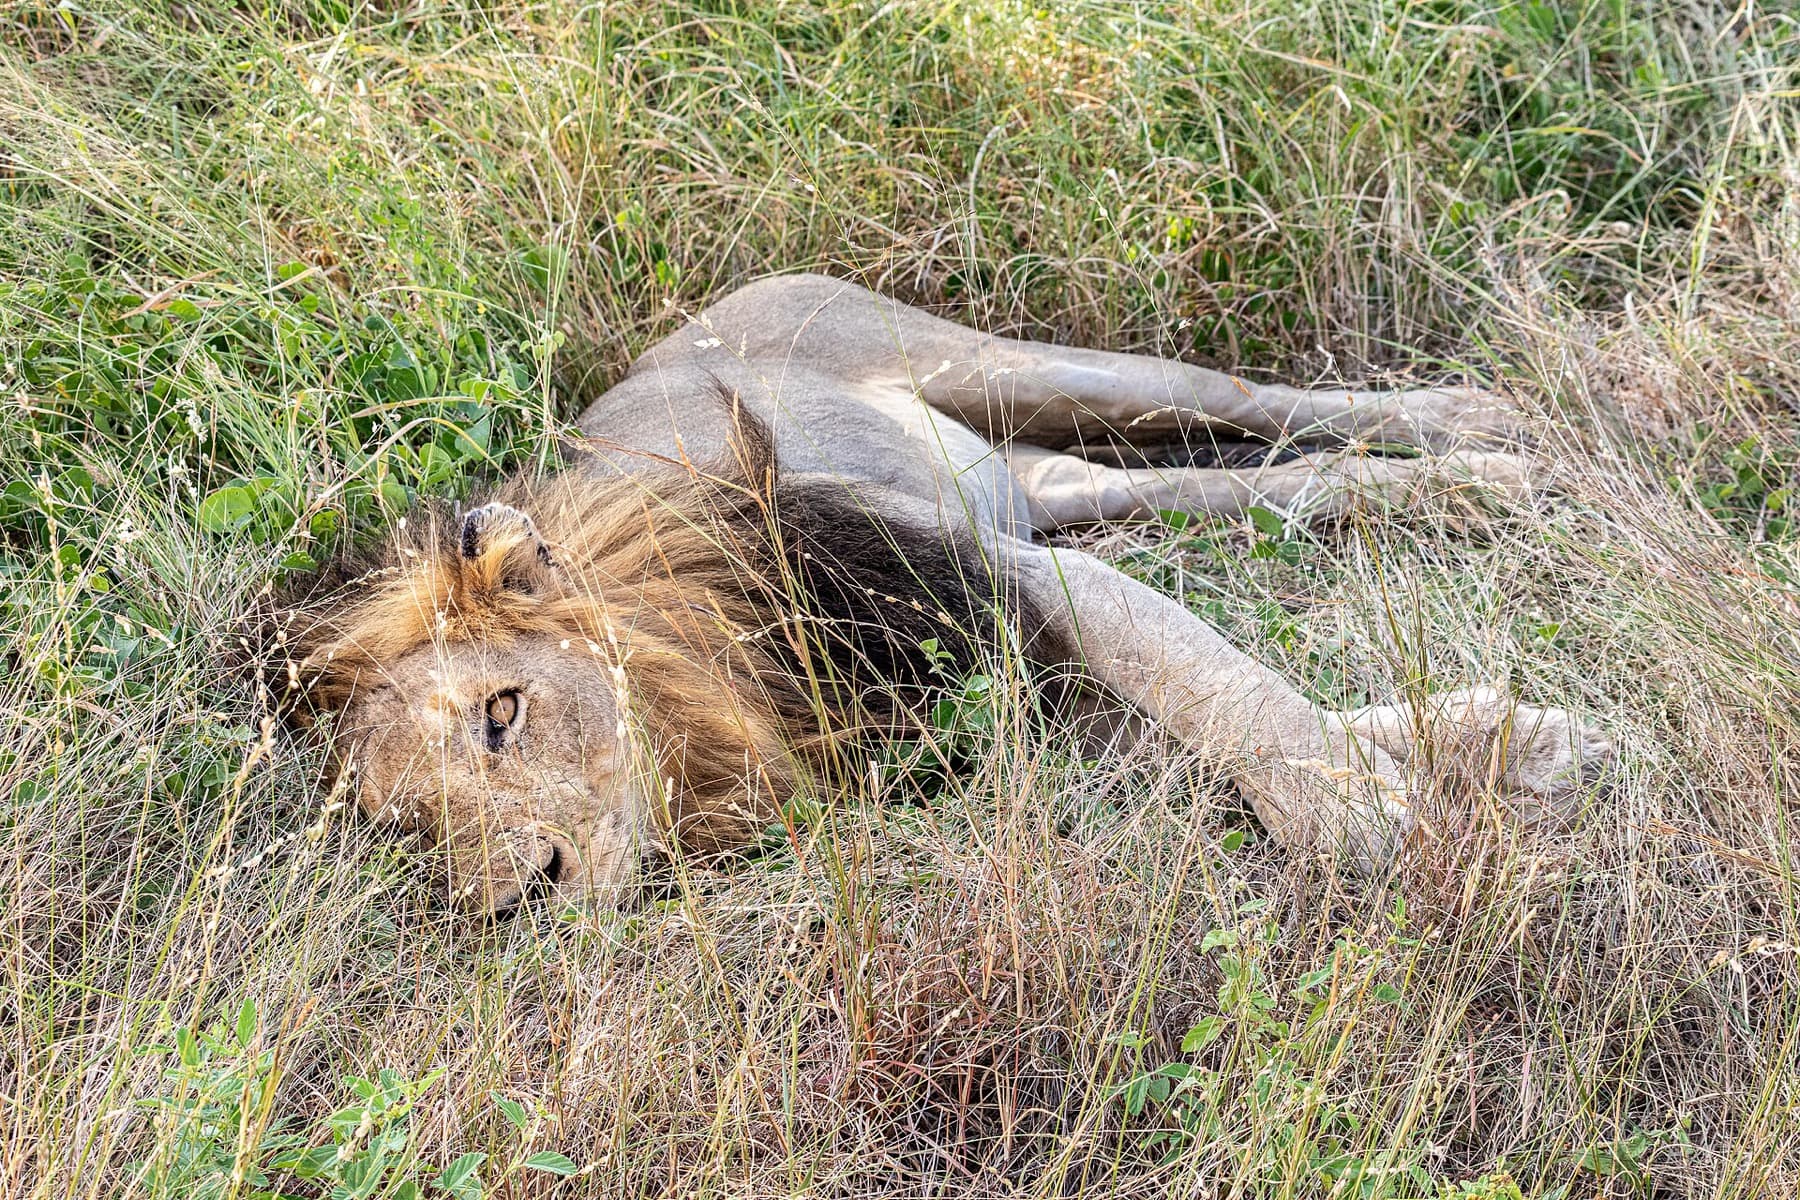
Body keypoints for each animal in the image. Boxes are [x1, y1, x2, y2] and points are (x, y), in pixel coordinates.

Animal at [282, 274, 1613, 914]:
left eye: (502, 714)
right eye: (407, 830)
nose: (521, 898)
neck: (722, 680)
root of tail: (713, 307)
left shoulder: (996, 579)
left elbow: (1210, 684)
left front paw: (1361, 817)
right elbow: (1202, 712)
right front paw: (1507, 737)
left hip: (1012, 369)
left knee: (1255, 402)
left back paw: (1486, 428)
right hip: (1044, 478)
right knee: (1226, 487)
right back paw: (1478, 483)